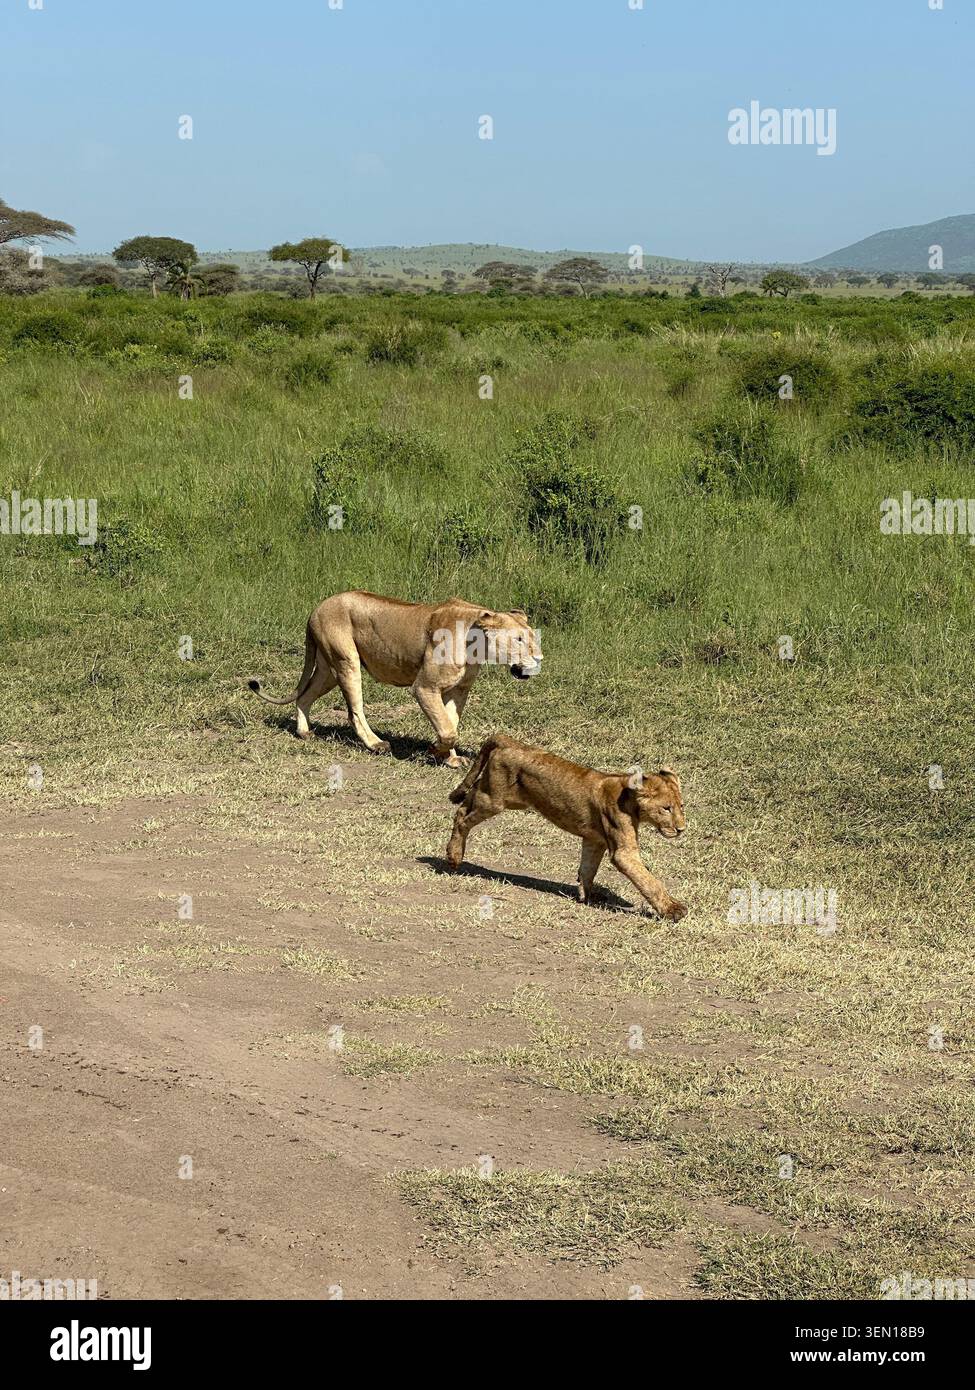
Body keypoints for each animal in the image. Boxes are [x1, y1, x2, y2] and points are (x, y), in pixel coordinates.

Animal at [248, 591, 541, 767]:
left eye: (532, 637)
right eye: (519, 639)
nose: (539, 659)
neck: (476, 644)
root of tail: (317, 608)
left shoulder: (459, 690)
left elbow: (450, 723)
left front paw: (450, 759)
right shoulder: (424, 687)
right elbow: (447, 730)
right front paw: (435, 750)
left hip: (327, 669)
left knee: (305, 695)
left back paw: (304, 732)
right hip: (346, 661)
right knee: (354, 710)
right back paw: (376, 744)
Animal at [446, 734, 687, 920]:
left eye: (681, 806)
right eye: (666, 808)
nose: (681, 829)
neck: (628, 797)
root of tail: (509, 740)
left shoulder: (594, 840)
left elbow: (588, 868)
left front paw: (587, 895)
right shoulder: (623, 852)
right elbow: (648, 880)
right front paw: (673, 909)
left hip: (497, 795)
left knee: (464, 804)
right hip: (494, 800)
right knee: (462, 818)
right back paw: (454, 857)